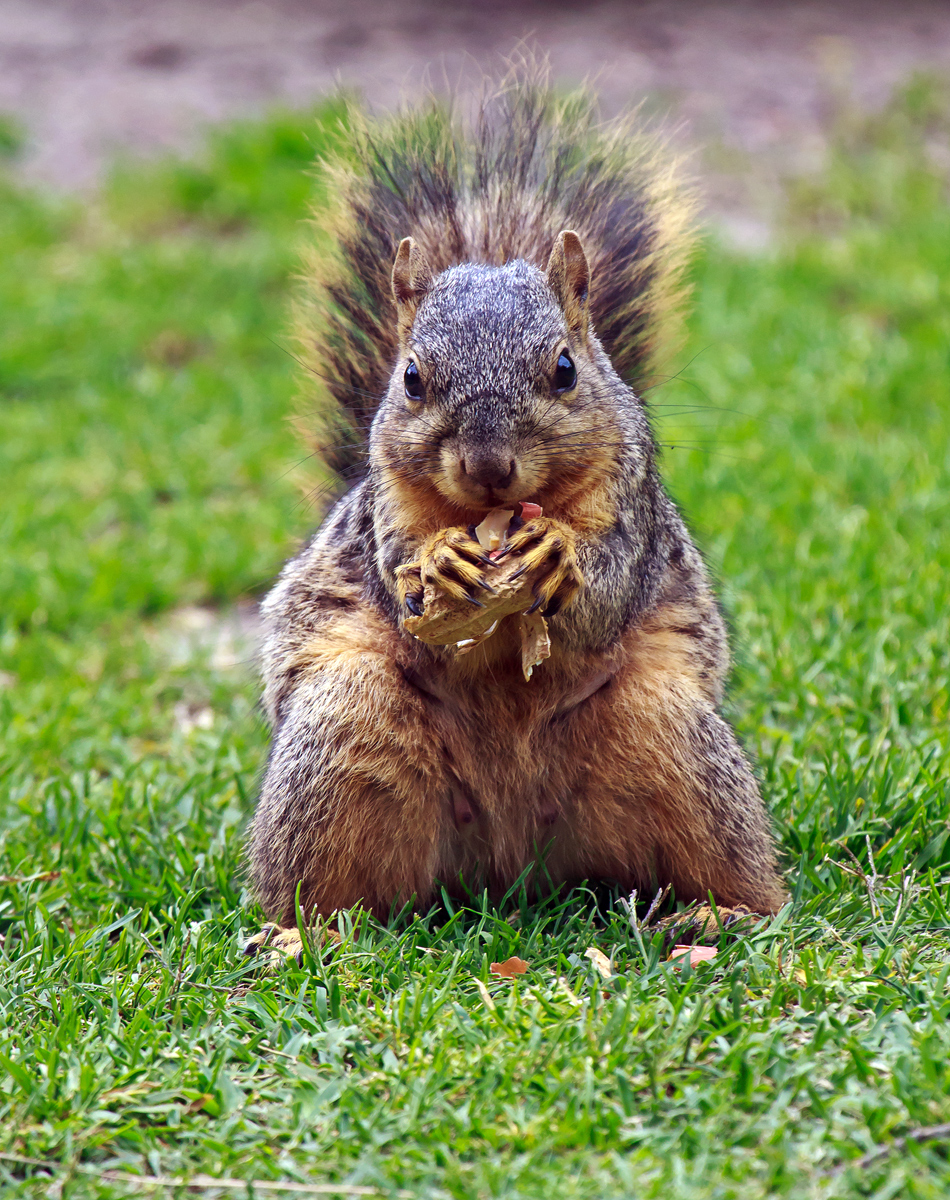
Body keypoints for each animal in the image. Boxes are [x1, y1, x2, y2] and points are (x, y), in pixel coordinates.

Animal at [245, 68, 786, 956]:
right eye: (412, 379)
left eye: (565, 369)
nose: (490, 466)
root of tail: (511, 872)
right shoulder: (384, 514)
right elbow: (403, 582)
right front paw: (438, 564)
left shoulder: (631, 508)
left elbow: (607, 590)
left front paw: (559, 556)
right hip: (343, 735)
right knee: (330, 885)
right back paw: (304, 934)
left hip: (670, 736)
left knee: (739, 868)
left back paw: (723, 914)